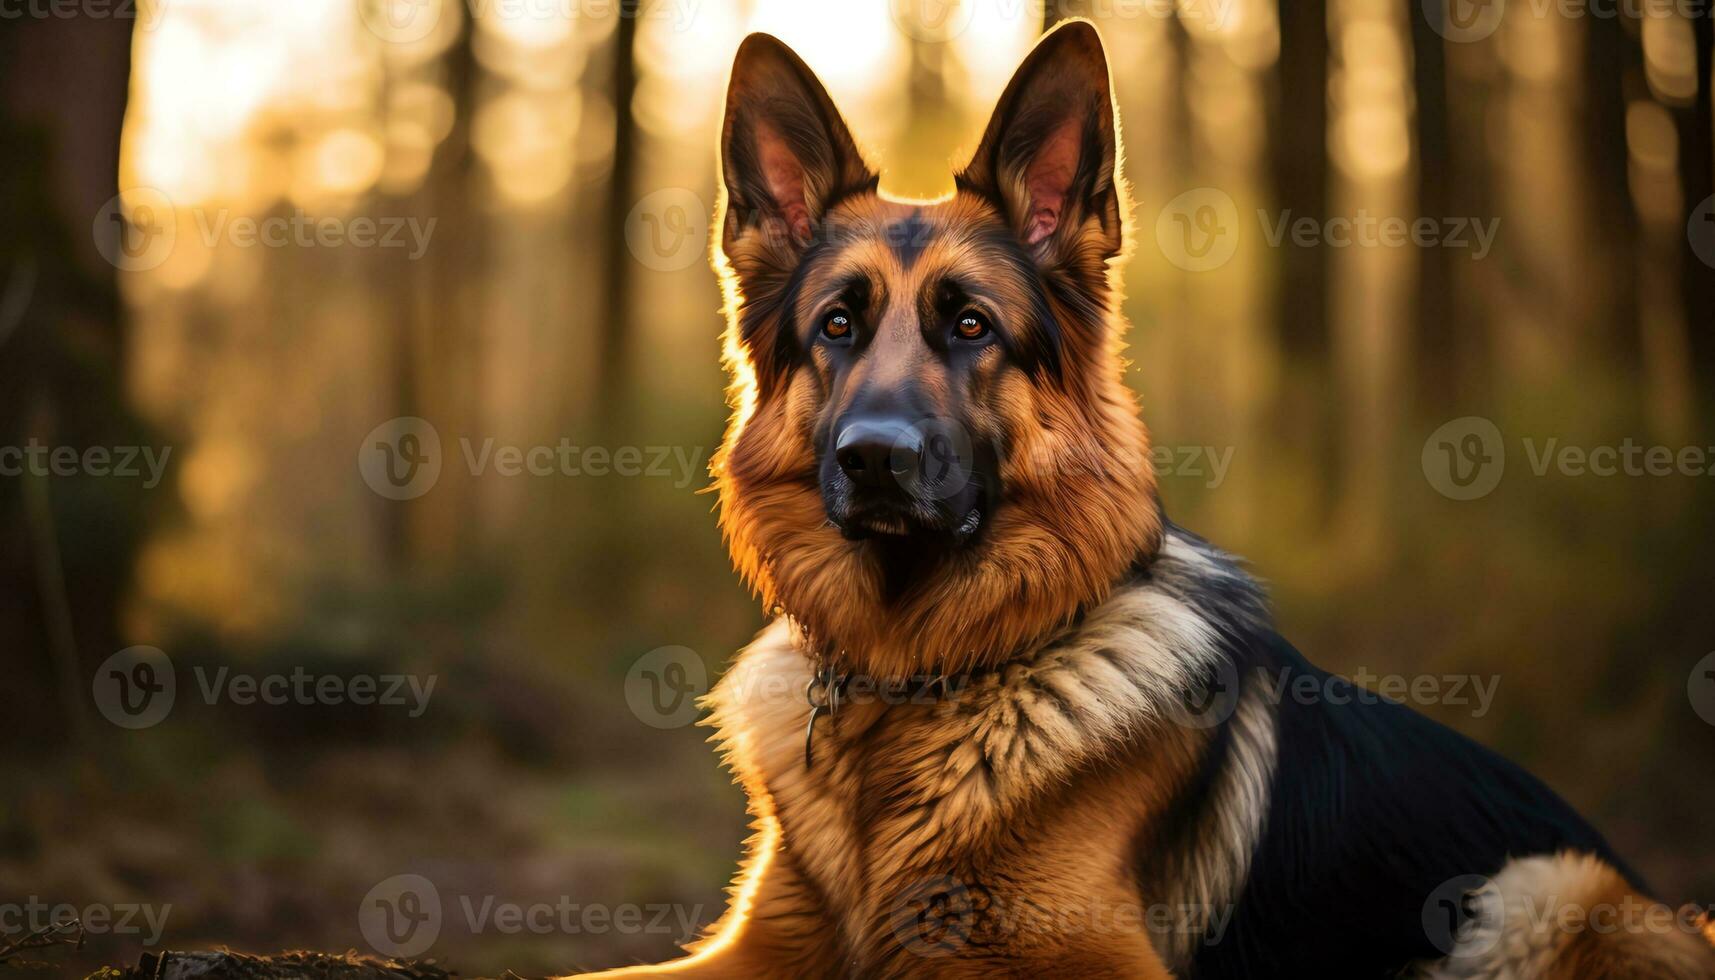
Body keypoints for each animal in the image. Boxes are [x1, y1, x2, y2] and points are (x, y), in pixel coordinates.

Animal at [576, 19, 1715, 974]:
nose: (872, 459)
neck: (915, 684)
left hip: (1543, 889)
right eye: (837, 326)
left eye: (971, 326)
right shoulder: (750, 950)